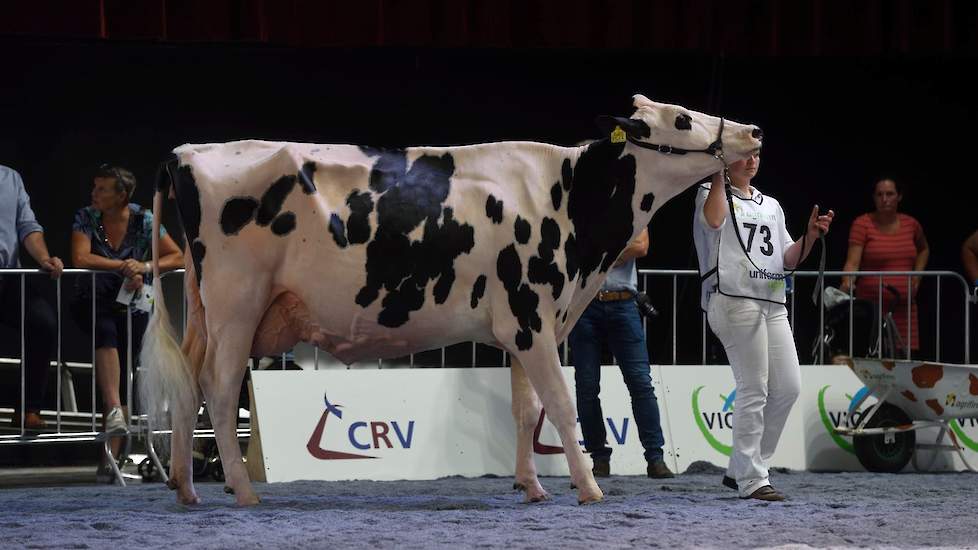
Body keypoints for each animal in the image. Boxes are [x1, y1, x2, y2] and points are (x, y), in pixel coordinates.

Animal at [139, 92, 764, 506]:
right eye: (682, 118)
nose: (753, 132)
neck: (569, 200)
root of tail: (186, 152)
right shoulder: (534, 317)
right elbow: (561, 404)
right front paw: (588, 488)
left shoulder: (524, 325)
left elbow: (526, 409)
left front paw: (531, 486)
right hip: (237, 303)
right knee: (220, 387)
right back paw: (242, 491)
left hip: (204, 309)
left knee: (189, 381)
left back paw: (185, 488)